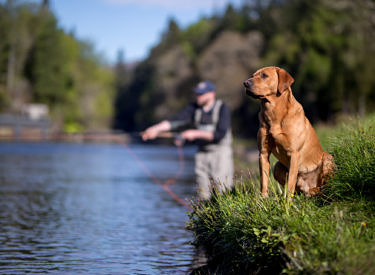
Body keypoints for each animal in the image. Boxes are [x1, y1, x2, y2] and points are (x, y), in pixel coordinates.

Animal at [245, 66, 336, 196]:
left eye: (264, 75)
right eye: (253, 75)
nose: (245, 83)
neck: (273, 113)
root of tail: (308, 186)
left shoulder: (294, 153)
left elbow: (291, 182)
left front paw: (287, 200)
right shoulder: (263, 153)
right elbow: (264, 180)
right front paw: (263, 198)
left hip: (327, 158)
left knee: (324, 185)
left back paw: (316, 190)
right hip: (277, 167)